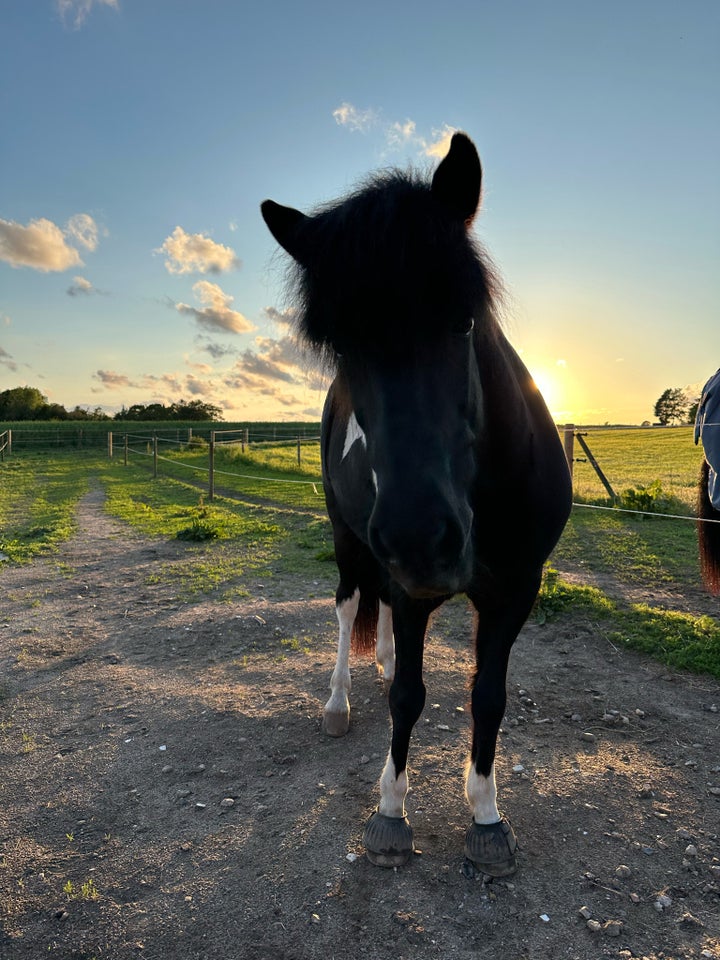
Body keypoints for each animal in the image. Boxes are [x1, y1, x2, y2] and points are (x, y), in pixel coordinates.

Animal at [262, 135, 572, 876]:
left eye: (464, 320)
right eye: (340, 347)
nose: (420, 539)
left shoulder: (515, 591)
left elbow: (487, 696)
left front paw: (486, 814)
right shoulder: (406, 587)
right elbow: (409, 697)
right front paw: (391, 811)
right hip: (349, 541)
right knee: (351, 607)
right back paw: (340, 700)